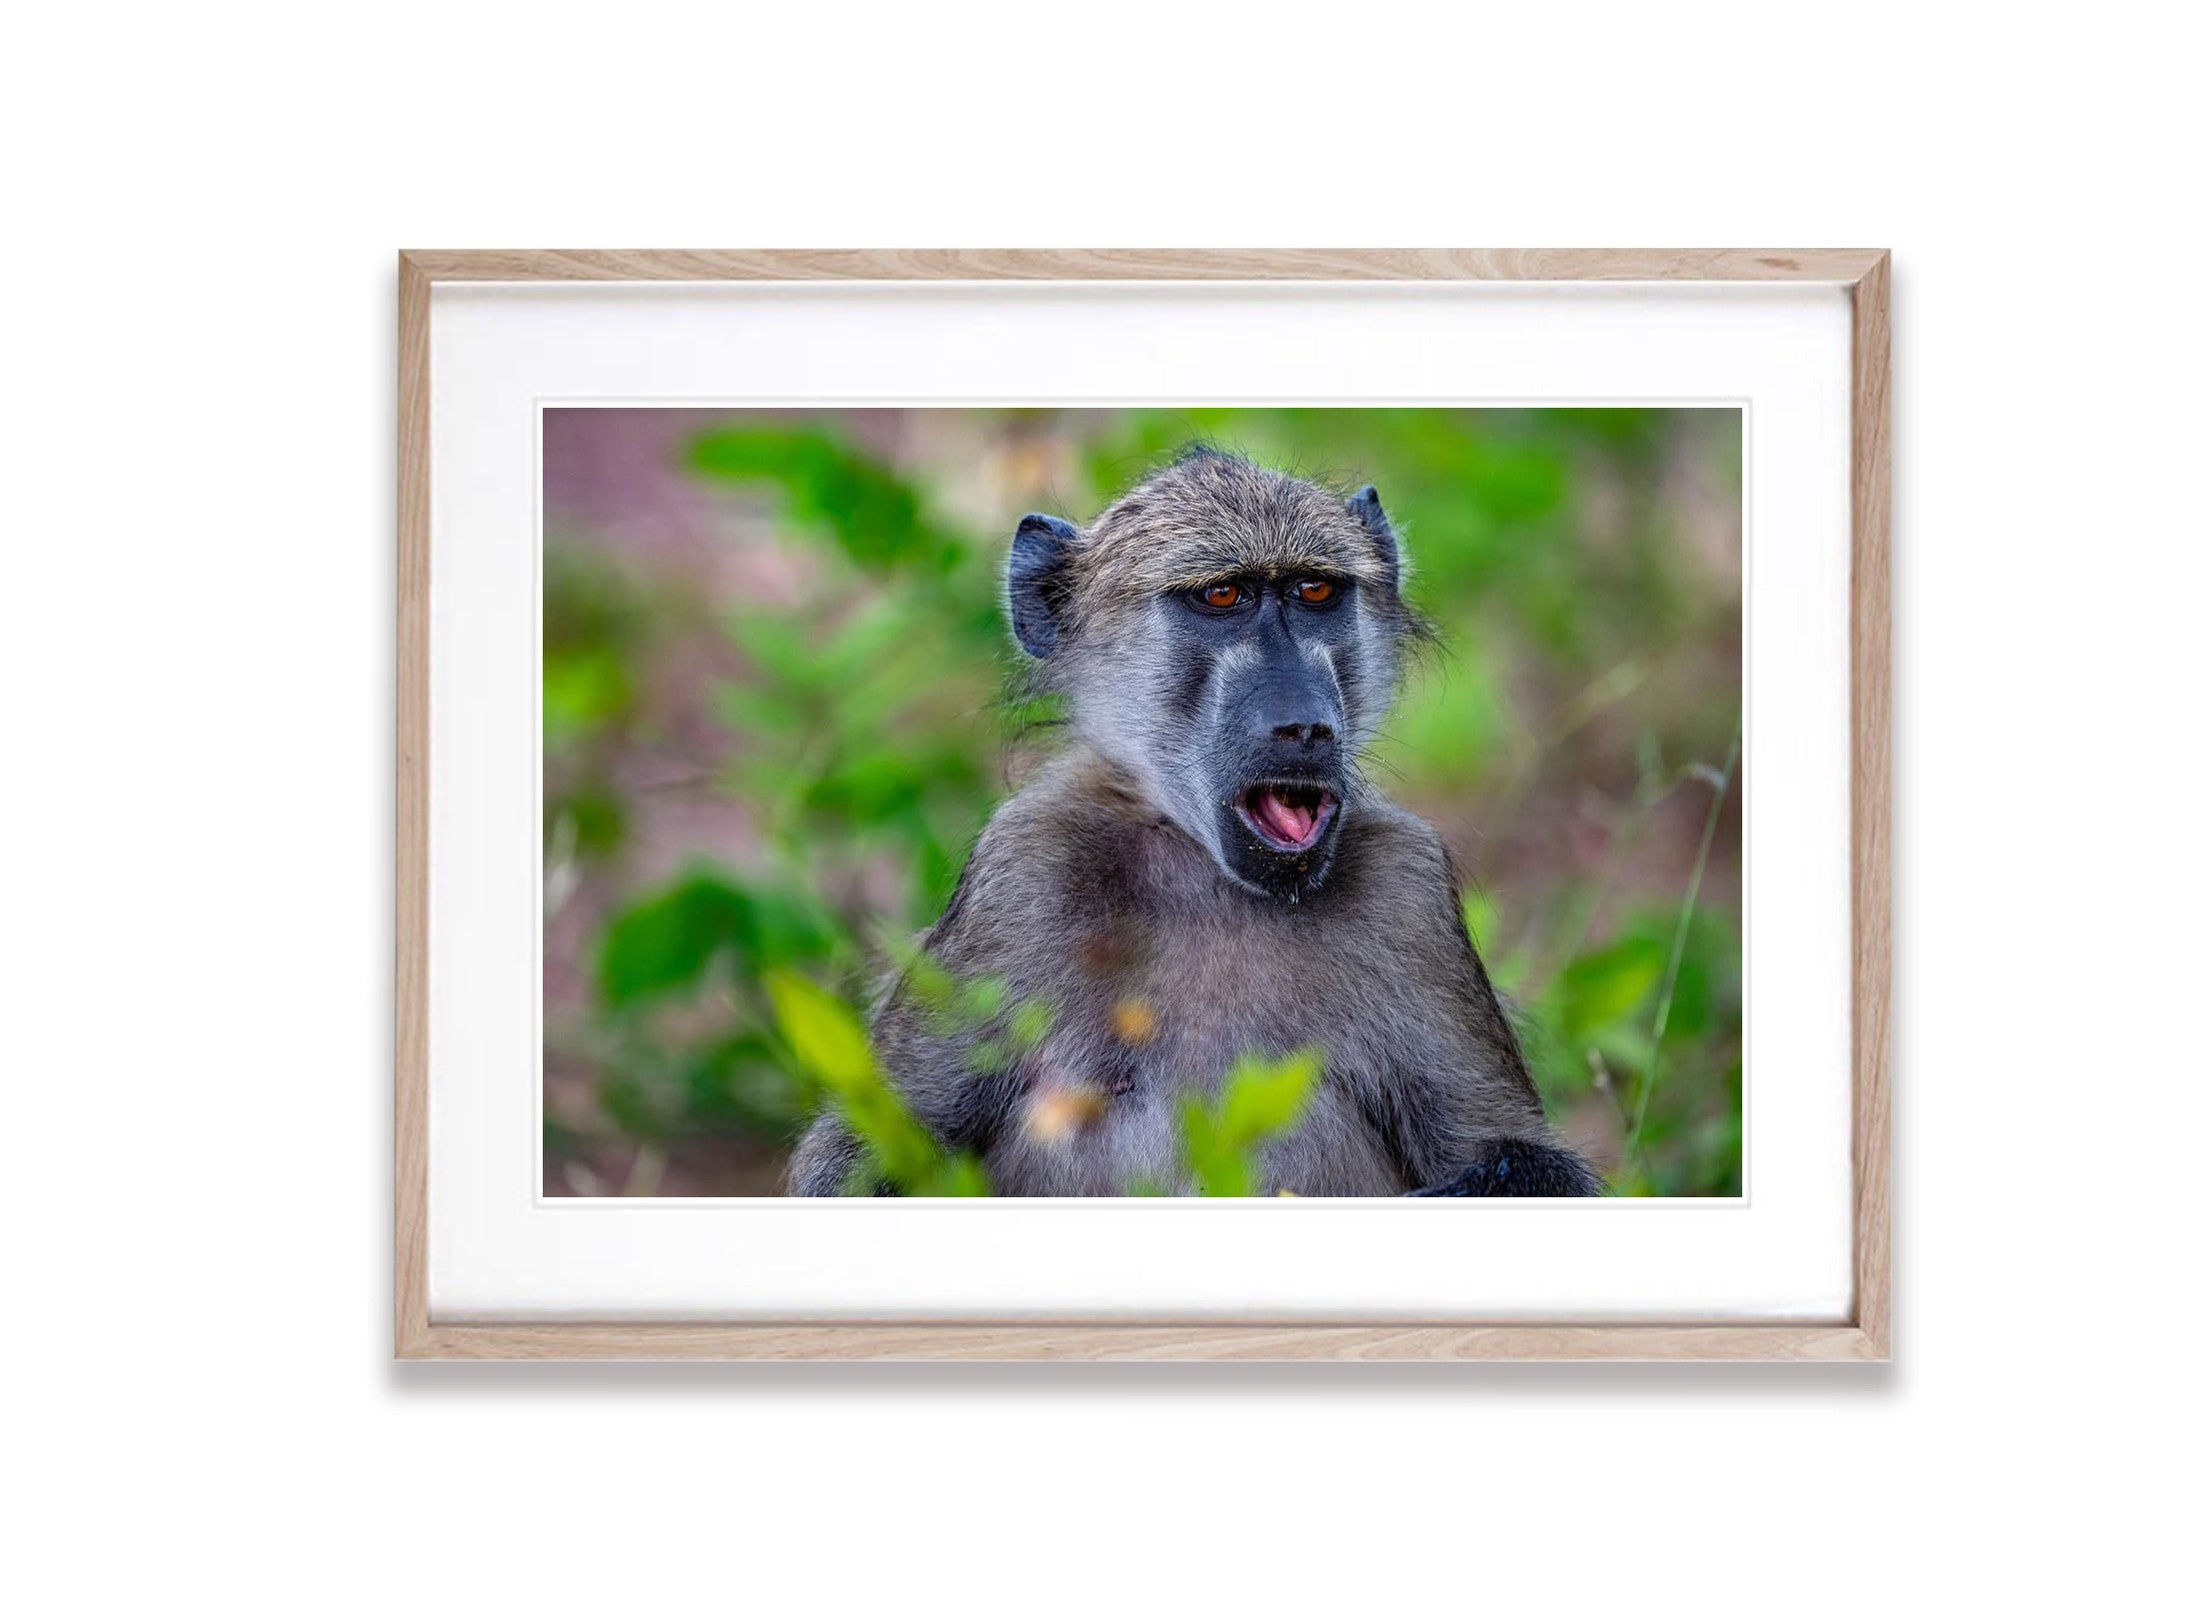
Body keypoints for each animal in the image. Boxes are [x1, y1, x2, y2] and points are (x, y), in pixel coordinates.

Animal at [788, 447, 1600, 1198]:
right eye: (1222, 595)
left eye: (1314, 591)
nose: (1304, 725)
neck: (1204, 870)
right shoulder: (1021, 864)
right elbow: (866, 1153)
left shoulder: (1411, 887)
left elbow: (1527, 1158)